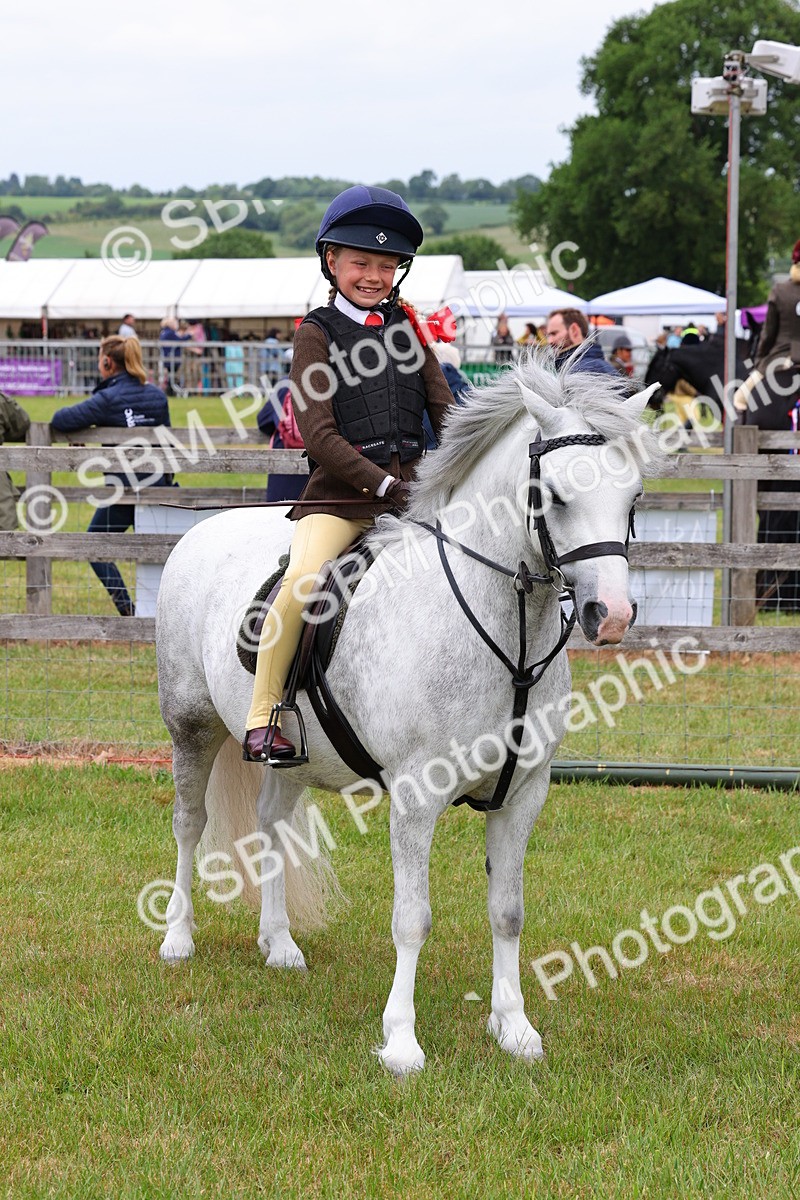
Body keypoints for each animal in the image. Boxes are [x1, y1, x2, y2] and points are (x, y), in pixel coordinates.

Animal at [154, 354, 659, 1074]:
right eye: (558, 496)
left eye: (633, 496)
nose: (610, 615)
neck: (505, 637)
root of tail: (202, 528)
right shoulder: (417, 797)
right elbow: (412, 919)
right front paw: (400, 1042)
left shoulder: (522, 794)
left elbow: (508, 912)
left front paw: (514, 1028)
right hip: (191, 728)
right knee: (189, 824)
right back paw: (177, 936)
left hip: (288, 755)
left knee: (271, 823)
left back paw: (279, 944)